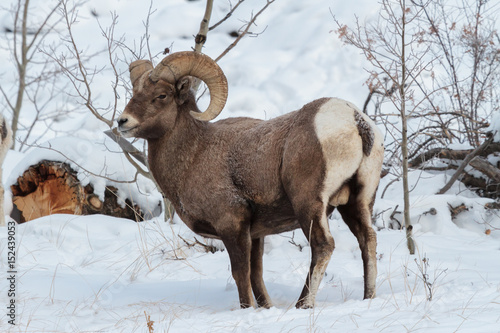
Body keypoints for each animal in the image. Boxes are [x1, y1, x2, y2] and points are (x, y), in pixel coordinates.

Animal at [117, 50, 382, 308]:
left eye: (161, 95)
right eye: (135, 92)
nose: (123, 121)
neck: (195, 152)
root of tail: (355, 120)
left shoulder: (232, 224)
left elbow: (241, 274)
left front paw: (248, 309)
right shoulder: (256, 234)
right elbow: (256, 275)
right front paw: (265, 308)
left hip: (309, 204)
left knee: (323, 245)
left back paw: (303, 304)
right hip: (358, 201)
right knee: (367, 239)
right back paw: (368, 297)